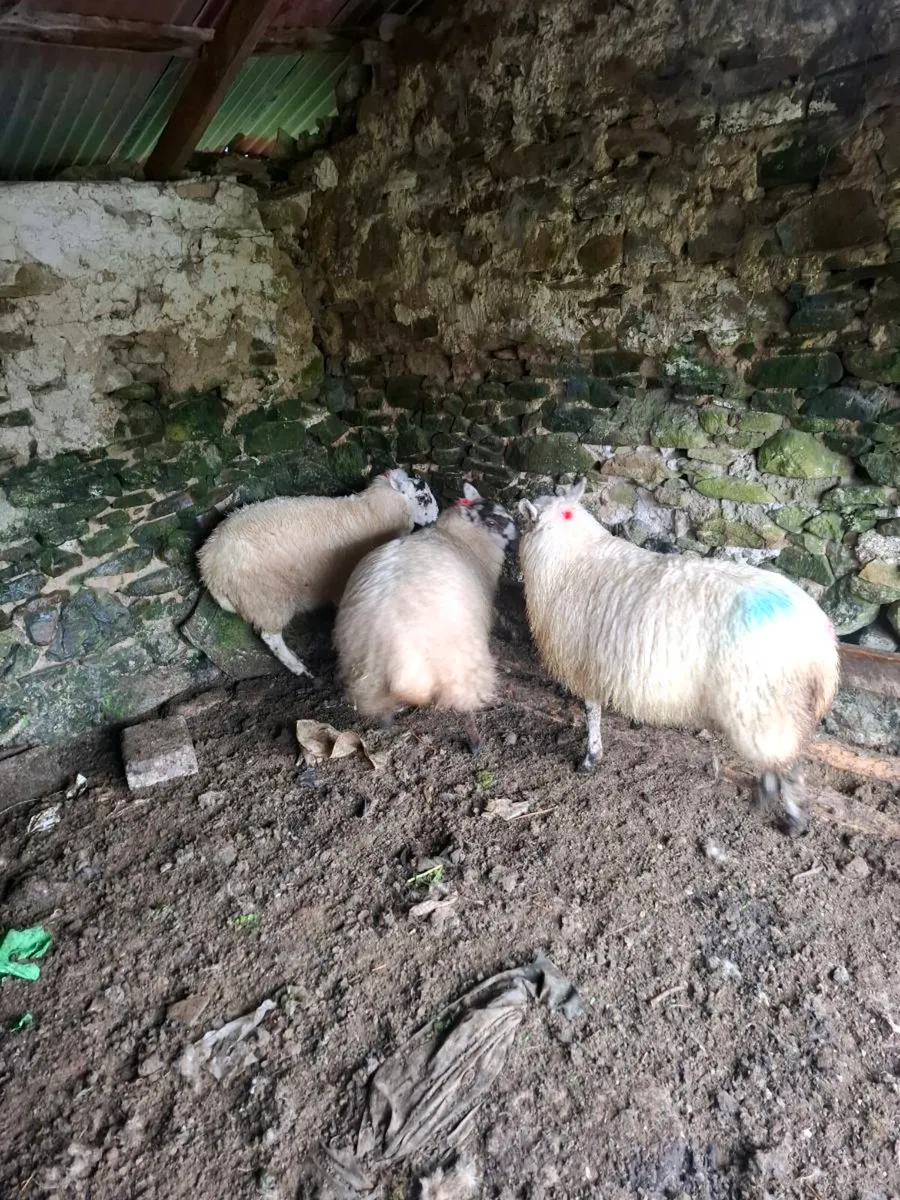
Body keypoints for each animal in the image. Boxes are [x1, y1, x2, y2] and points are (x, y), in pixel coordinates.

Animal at [197, 469, 438, 678]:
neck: (373, 512)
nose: (436, 516)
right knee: (271, 637)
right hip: (266, 598)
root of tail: (208, 564)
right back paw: (298, 667)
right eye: (423, 496)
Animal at [333, 483, 518, 752]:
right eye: (493, 521)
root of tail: (396, 654)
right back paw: (475, 743)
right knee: (466, 704)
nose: (518, 538)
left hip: (367, 679)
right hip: (460, 665)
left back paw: (386, 724)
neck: (460, 537)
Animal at [517, 478, 840, 834]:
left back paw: (793, 820)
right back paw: (764, 795)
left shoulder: (583, 663)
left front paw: (590, 758)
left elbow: (592, 712)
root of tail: (821, 645)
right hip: (770, 709)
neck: (572, 556)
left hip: (764, 703)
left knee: (789, 763)